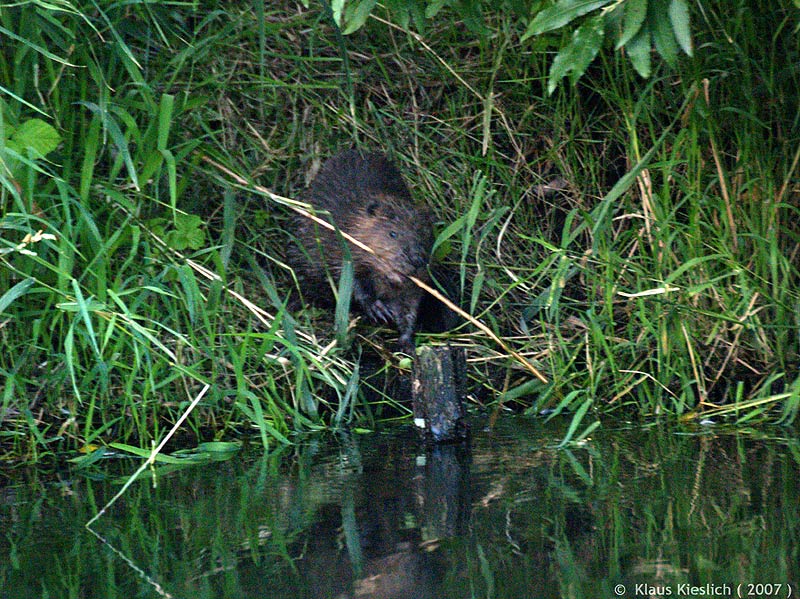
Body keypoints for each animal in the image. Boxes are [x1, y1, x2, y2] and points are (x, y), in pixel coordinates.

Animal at [288, 148, 434, 350]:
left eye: (423, 233)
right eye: (393, 233)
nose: (416, 259)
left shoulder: (414, 283)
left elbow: (409, 306)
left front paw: (406, 341)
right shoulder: (339, 244)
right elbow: (349, 279)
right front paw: (377, 309)